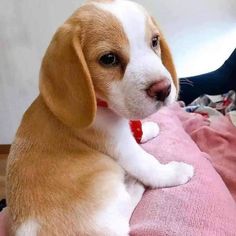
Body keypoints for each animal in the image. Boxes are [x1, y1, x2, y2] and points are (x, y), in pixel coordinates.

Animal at [6, 0, 194, 235]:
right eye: (109, 59)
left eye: (154, 41)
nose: (163, 89)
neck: (101, 104)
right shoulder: (124, 148)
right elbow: (150, 165)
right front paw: (174, 172)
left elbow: (137, 129)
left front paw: (149, 128)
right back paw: (134, 185)